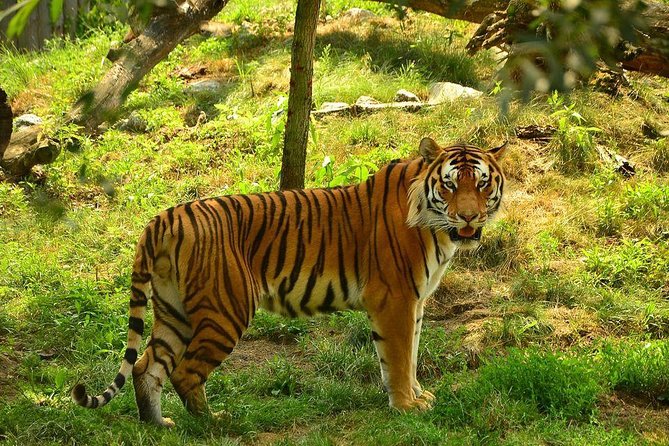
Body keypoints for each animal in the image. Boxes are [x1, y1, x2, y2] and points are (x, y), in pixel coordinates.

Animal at [72, 137, 507, 426]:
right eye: (450, 184)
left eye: (482, 183)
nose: (469, 217)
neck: (438, 229)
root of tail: (162, 218)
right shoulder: (395, 299)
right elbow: (398, 358)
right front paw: (405, 406)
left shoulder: (416, 302)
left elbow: (413, 354)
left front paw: (418, 395)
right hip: (225, 311)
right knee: (184, 372)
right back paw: (214, 422)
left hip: (173, 311)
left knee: (147, 367)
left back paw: (159, 425)